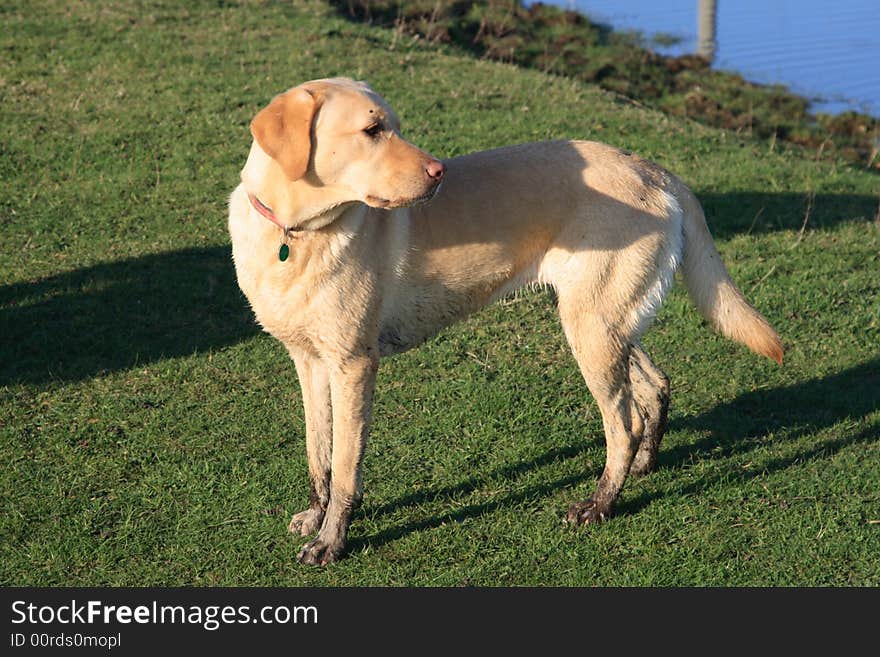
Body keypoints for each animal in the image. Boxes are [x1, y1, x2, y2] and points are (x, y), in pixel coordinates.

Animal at [227, 75, 784, 564]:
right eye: (372, 130)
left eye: (395, 127)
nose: (439, 173)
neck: (296, 233)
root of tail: (654, 169)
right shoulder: (310, 362)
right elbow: (317, 452)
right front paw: (316, 517)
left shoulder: (353, 366)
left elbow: (345, 467)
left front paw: (331, 543)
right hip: (603, 320)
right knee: (654, 386)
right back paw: (642, 469)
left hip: (591, 329)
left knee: (622, 423)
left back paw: (599, 504)